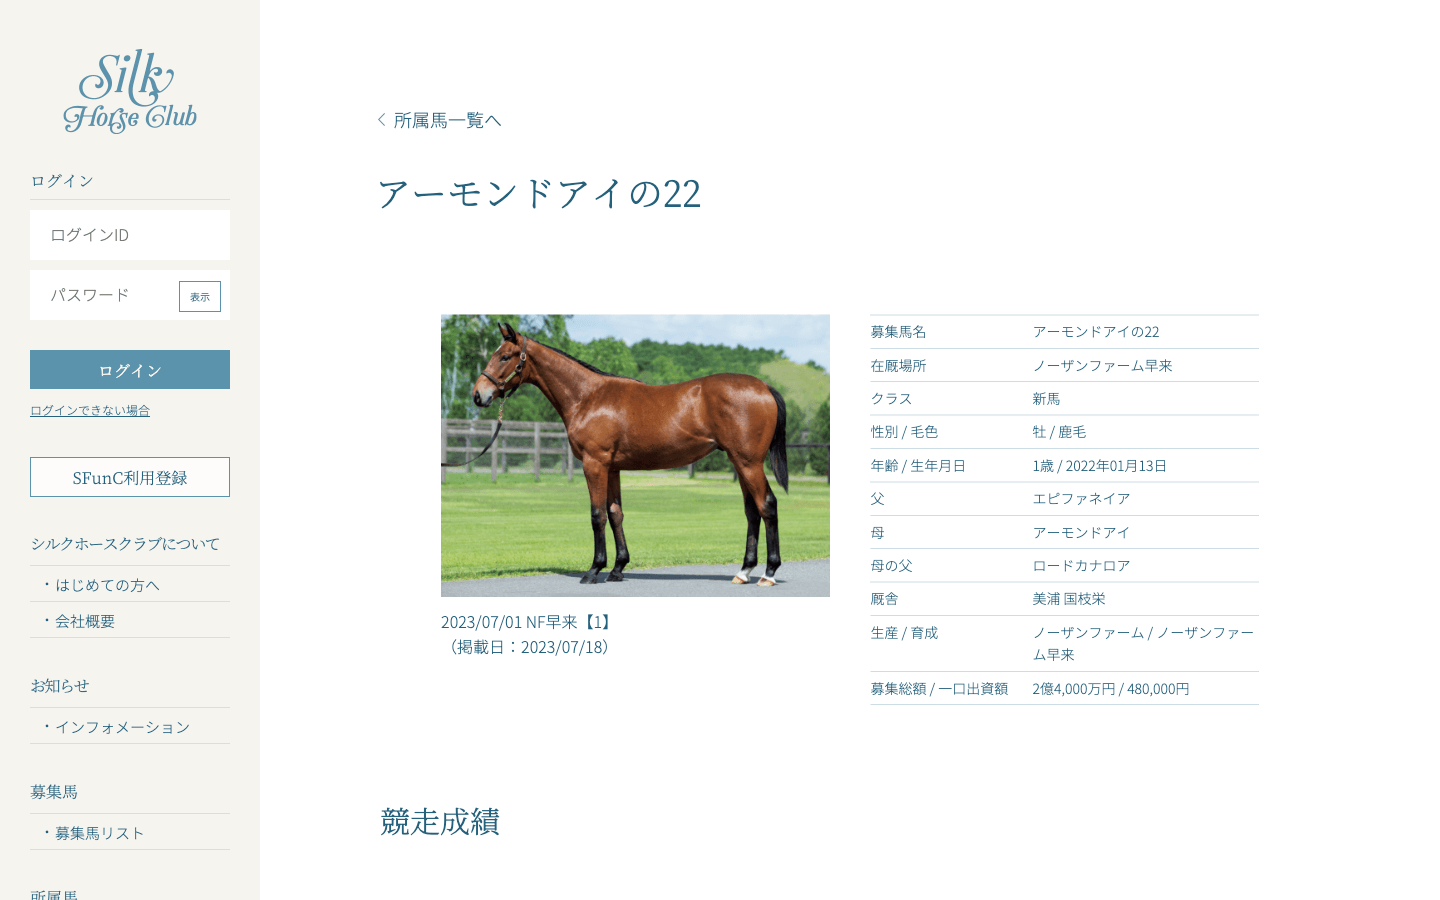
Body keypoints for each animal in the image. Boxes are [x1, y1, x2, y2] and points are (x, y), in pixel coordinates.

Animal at [472, 323, 788, 586]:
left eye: (505, 357)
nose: (478, 394)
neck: (588, 397)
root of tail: (764, 387)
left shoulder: (595, 464)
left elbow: (597, 515)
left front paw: (594, 570)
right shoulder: (612, 467)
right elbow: (616, 514)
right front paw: (617, 568)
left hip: (749, 463)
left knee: (767, 505)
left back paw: (769, 573)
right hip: (739, 462)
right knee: (752, 512)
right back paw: (743, 572)